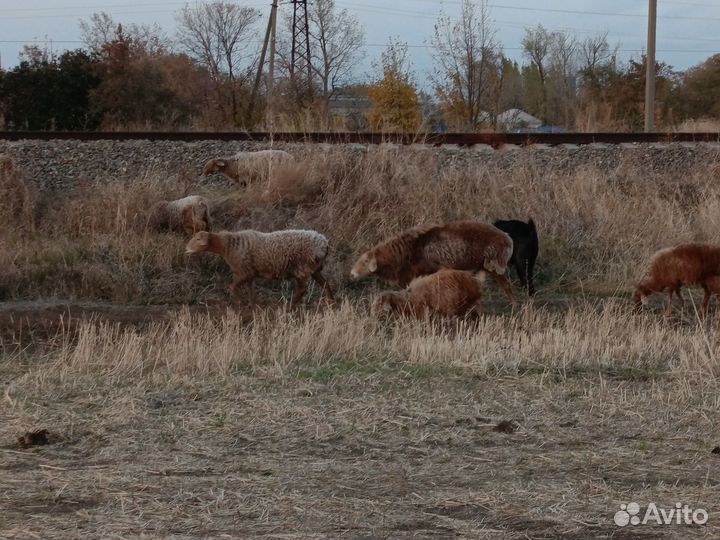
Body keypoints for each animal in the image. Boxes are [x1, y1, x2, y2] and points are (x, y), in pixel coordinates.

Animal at [185, 229, 334, 307]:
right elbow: (251, 288)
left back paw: (289, 307)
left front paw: (238, 302)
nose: (186, 249)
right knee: (325, 283)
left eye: (198, 239)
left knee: (302, 289)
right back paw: (331, 302)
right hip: (314, 268)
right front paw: (252, 304)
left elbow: (232, 287)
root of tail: (324, 243)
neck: (228, 246)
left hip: (302, 268)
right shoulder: (249, 273)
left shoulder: (243, 273)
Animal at [350, 221, 515, 306]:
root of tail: (508, 239)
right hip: (481, 268)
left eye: (366, 261)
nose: (352, 274)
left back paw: (514, 307)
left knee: (507, 286)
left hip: (494, 266)